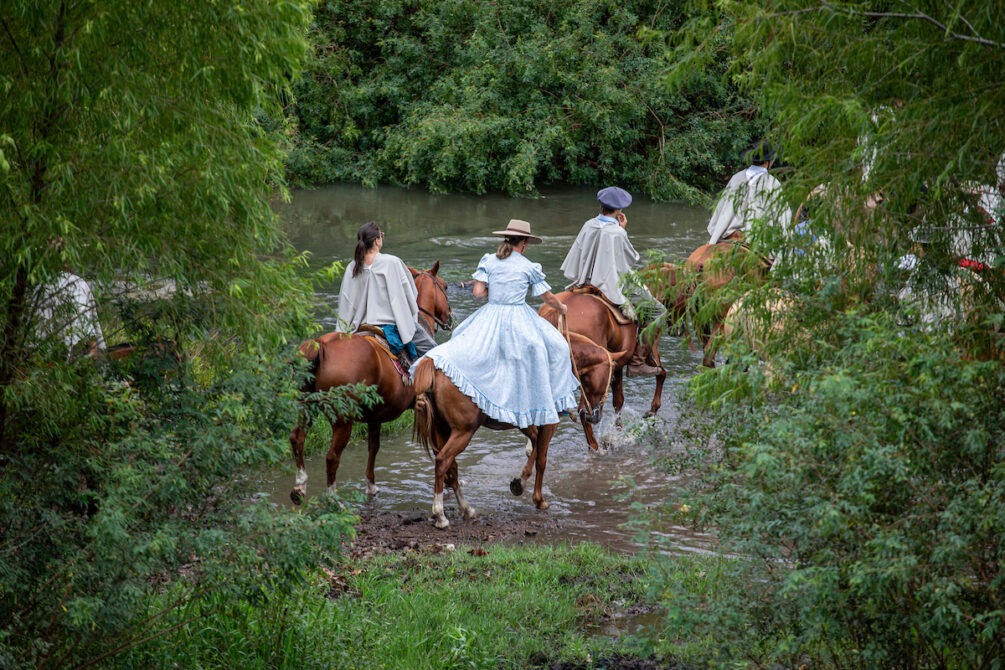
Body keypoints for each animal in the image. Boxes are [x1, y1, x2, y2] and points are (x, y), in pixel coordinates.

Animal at [287, 261, 452, 502]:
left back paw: (299, 487)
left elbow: (373, 447)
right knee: (332, 456)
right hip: (342, 419)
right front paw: (449, 482)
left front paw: (371, 486)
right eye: (445, 286)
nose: (449, 318)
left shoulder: (376, 416)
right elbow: (440, 445)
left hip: (305, 406)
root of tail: (321, 346)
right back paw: (333, 499)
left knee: (297, 439)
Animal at [412, 331, 615, 530]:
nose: (594, 416)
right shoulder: (550, 421)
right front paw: (539, 499)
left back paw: (466, 509)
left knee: (451, 466)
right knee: (443, 461)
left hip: (442, 430)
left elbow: (534, 447)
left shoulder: (528, 421)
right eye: (612, 377)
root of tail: (433, 366)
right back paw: (440, 515)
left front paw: (520, 482)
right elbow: (542, 458)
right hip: (463, 432)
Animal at [538, 291, 663, 454]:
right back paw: (595, 446)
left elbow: (618, 401)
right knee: (583, 410)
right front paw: (652, 413)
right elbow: (661, 373)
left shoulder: (616, 365)